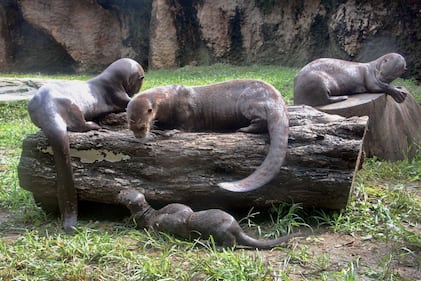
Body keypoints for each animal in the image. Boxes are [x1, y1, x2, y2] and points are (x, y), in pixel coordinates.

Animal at [116, 188, 296, 247]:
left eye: (124, 193)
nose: (118, 191)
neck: (147, 213)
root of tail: (236, 227)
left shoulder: (142, 220)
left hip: (222, 232)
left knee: (231, 244)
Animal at [125, 79, 288, 192]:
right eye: (131, 128)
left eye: (142, 126)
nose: (139, 137)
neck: (169, 100)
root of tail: (276, 99)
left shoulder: (186, 111)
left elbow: (185, 127)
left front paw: (171, 131)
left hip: (249, 103)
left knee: (261, 120)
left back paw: (243, 129)